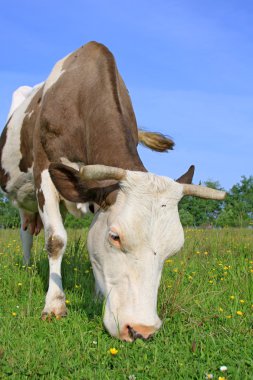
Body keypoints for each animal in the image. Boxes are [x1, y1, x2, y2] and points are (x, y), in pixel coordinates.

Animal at [0, 41, 225, 342]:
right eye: (115, 237)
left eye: (175, 248)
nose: (142, 330)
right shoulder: (45, 170)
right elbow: (56, 240)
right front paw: (54, 304)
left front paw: (97, 296)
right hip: (22, 196)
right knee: (26, 231)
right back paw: (26, 267)